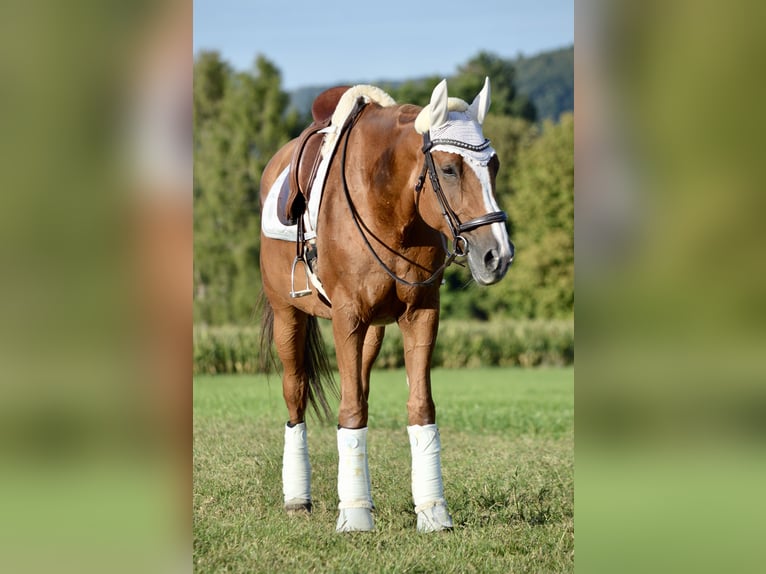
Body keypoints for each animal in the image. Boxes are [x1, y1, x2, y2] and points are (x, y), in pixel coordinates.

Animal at [260, 79, 516, 532]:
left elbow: (418, 406)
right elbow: (349, 409)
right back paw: (298, 498)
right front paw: (354, 516)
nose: (497, 256)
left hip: (373, 333)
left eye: (495, 165)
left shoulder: (422, 314)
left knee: (358, 389)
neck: (390, 206)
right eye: (448, 169)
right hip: (289, 316)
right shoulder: (346, 317)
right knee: (296, 394)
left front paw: (432, 511)